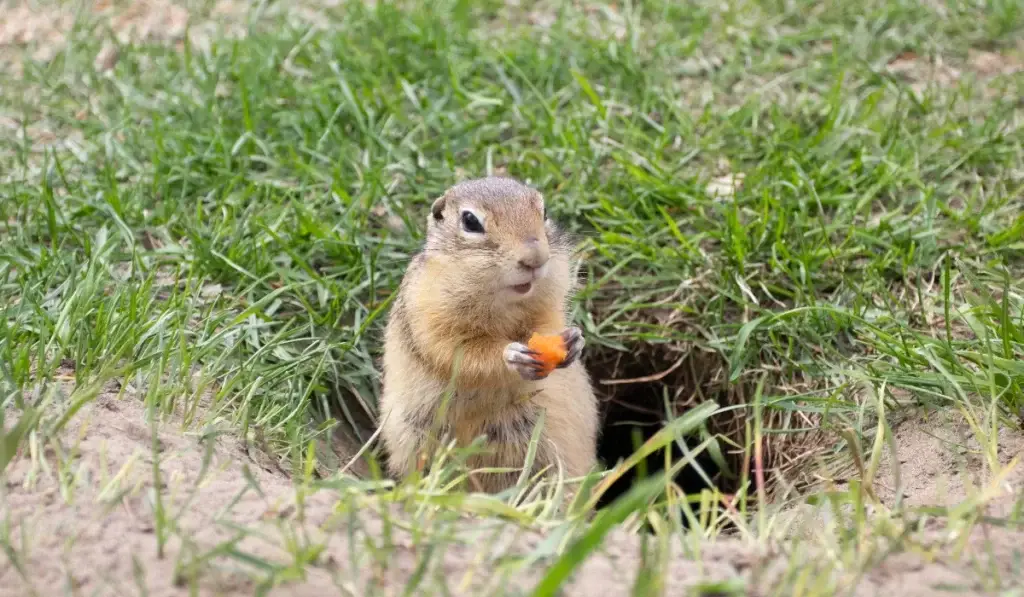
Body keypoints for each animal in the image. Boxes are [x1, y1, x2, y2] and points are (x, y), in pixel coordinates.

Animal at [377, 176, 599, 493]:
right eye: (470, 221)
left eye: (543, 212)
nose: (536, 259)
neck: (503, 301)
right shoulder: (429, 315)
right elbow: (458, 352)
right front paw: (512, 355)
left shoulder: (549, 304)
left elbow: (548, 323)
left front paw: (573, 341)